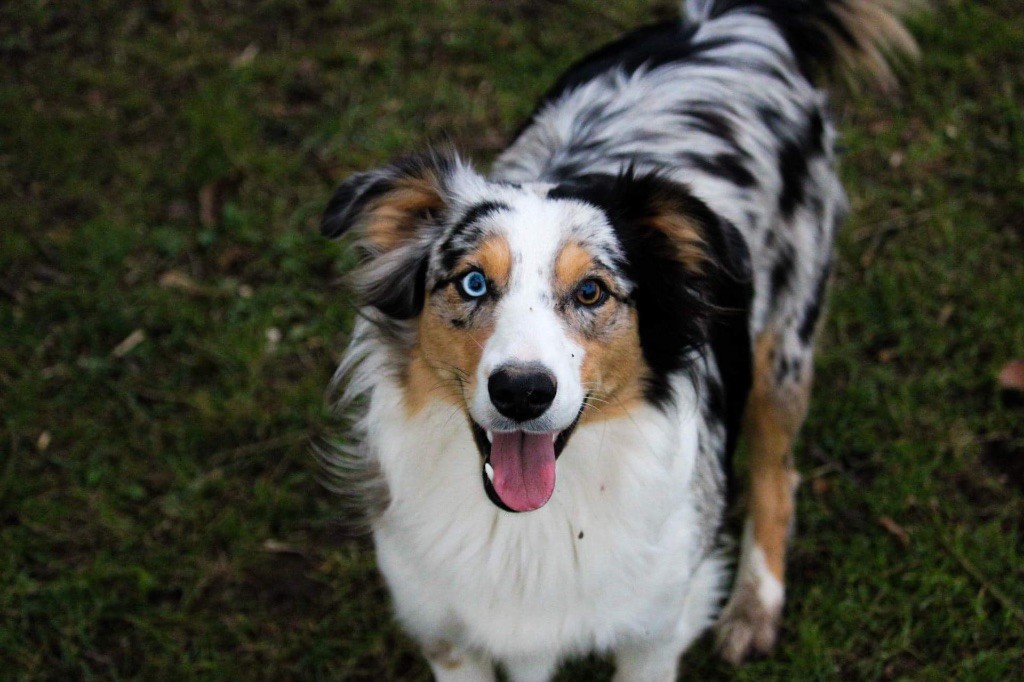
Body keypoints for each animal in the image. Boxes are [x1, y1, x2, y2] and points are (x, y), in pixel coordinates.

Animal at [315, 1, 917, 675]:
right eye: (472, 282)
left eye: (591, 292)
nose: (521, 392)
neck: (531, 526)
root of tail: (735, 21)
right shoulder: (445, 632)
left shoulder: (654, 629)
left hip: (785, 343)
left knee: (777, 473)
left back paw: (754, 608)